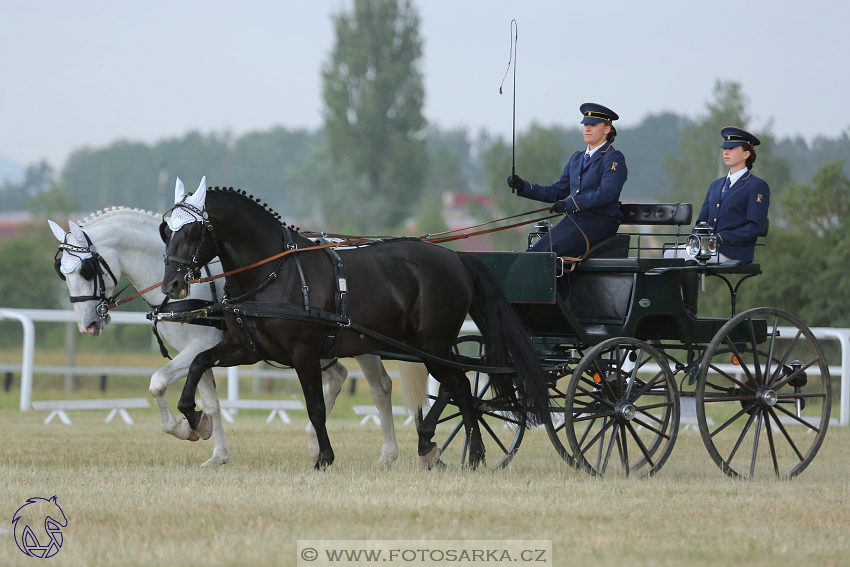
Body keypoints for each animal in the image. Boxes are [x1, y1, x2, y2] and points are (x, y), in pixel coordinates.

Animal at [49, 189, 428, 468]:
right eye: (61, 273)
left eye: (85, 269)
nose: (88, 324)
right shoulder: (202, 353)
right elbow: (212, 402)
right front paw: (212, 446)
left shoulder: (197, 348)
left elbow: (157, 383)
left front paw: (188, 430)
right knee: (338, 377)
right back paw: (313, 441)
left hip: (360, 342)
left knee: (380, 387)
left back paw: (387, 455)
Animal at [161, 187, 548, 470]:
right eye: (167, 231)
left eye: (193, 231)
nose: (171, 285)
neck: (274, 273)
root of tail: (456, 258)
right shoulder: (244, 349)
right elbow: (198, 364)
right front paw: (193, 418)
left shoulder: (303, 354)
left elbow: (315, 407)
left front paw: (324, 458)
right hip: (427, 345)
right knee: (463, 388)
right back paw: (457, 451)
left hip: (433, 344)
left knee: (460, 386)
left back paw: (442, 443)